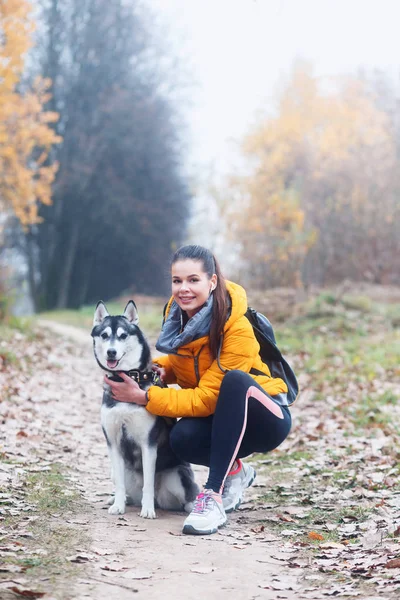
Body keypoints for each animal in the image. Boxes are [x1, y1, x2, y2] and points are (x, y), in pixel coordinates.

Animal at [90, 302, 197, 516]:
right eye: (104, 335)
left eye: (123, 335)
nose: (111, 352)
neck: (126, 378)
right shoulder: (113, 442)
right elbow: (119, 483)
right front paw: (118, 505)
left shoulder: (148, 443)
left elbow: (148, 481)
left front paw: (147, 510)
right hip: (121, 471)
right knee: (123, 484)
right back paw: (121, 499)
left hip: (178, 476)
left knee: (186, 499)